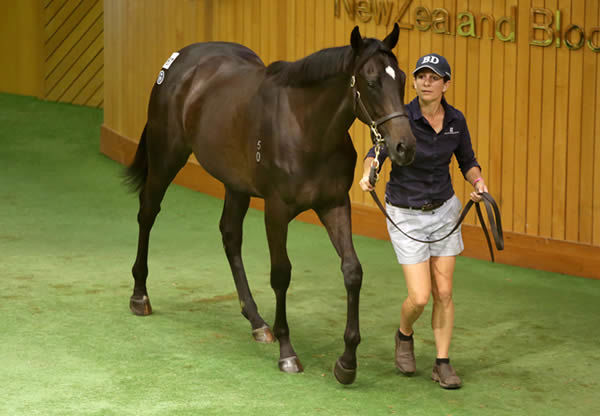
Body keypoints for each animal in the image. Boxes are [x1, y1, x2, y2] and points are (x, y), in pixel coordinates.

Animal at [125, 24, 418, 386]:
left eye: (402, 78)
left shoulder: (334, 204)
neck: (306, 129)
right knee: (148, 212)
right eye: (372, 81)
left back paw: (256, 321)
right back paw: (140, 294)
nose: (405, 146)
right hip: (167, 155)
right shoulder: (276, 210)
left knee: (230, 235)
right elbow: (281, 274)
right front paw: (287, 351)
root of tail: (180, 59)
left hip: (235, 184)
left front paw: (347, 362)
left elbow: (352, 271)